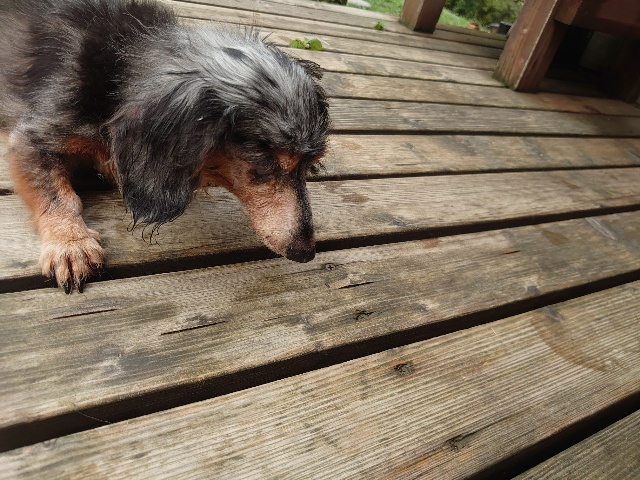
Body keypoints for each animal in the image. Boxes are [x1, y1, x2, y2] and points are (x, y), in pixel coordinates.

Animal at [0, 0, 330, 293]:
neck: (119, 64)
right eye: (265, 162)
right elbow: (59, 196)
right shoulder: (32, 136)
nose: (306, 252)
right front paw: (71, 244)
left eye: (308, 165)